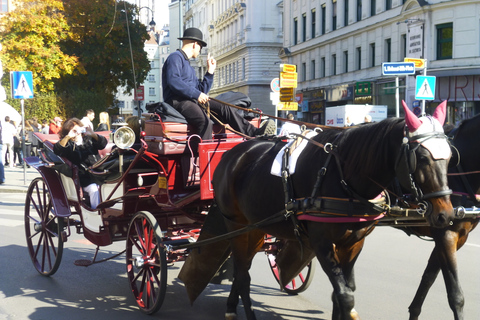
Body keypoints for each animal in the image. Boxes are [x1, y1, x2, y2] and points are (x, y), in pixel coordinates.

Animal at [213, 101, 454, 318]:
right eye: (421, 158)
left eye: (451, 157)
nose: (446, 215)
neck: (342, 176)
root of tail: (231, 154)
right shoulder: (322, 244)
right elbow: (345, 296)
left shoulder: (353, 243)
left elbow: (343, 292)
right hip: (237, 227)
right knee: (242, 273)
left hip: (255, 229)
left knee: (243, 268)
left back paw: (231, 307)